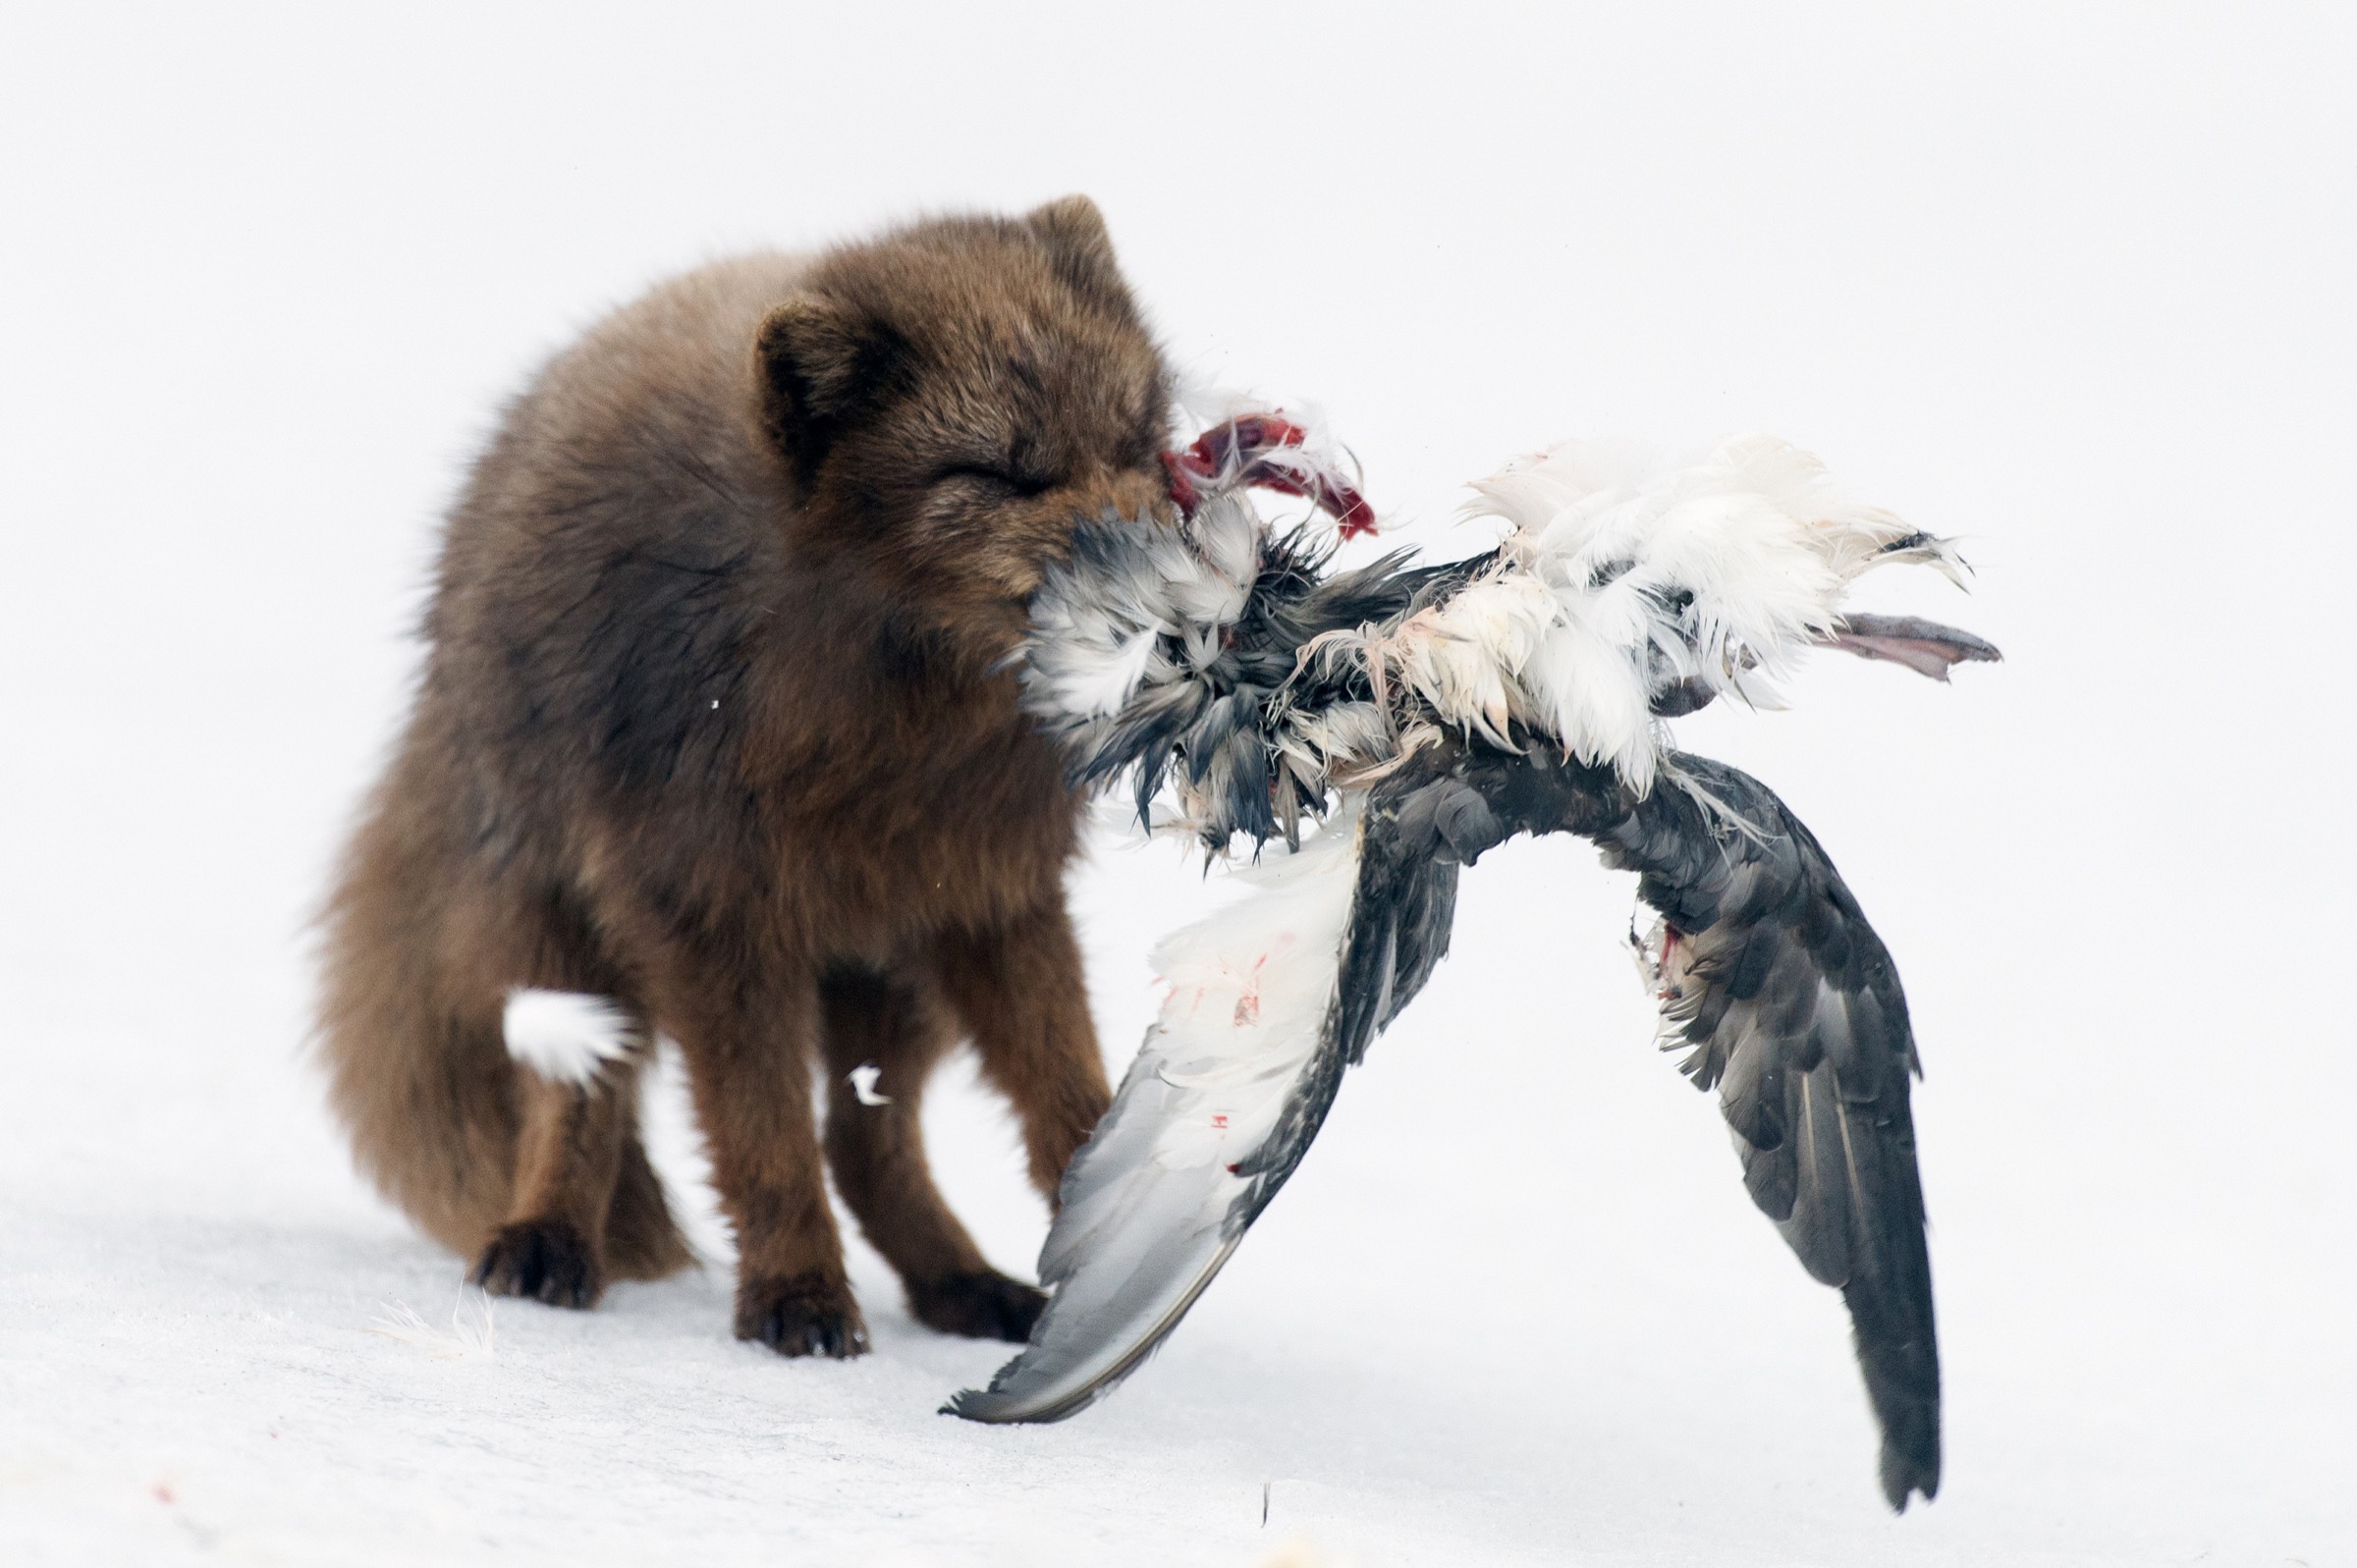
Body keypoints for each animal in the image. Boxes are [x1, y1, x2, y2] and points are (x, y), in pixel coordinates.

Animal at [317, 198, 1171, 1358]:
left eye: (1140, 440)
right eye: (1001, 473)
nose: (1176, 567)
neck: (894, 737)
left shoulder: (996, 896)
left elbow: (1071, 1097)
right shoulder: (712, 919)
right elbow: (760, 1140)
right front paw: (797, 1297)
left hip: (894, 972)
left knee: (865, 1142)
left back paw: (962, 1286)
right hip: (574, 933)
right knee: (578, 1101)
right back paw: (545, 1245)